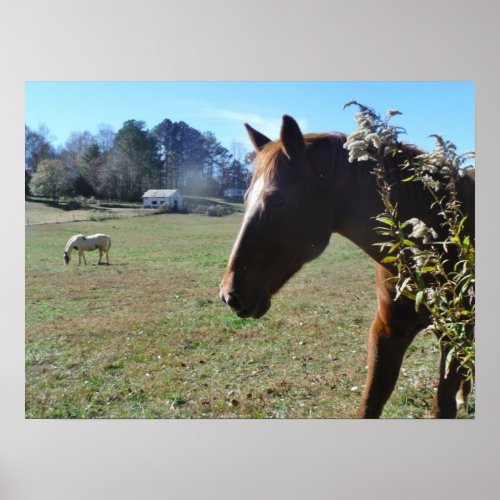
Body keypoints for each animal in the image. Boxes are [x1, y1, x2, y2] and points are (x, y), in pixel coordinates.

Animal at [220, 115, 476, 416]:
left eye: (277, 200)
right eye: (245, 198)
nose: (230, 295)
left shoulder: (453, 334)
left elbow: (441, 407)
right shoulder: (388, 332)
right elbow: (369, 404)